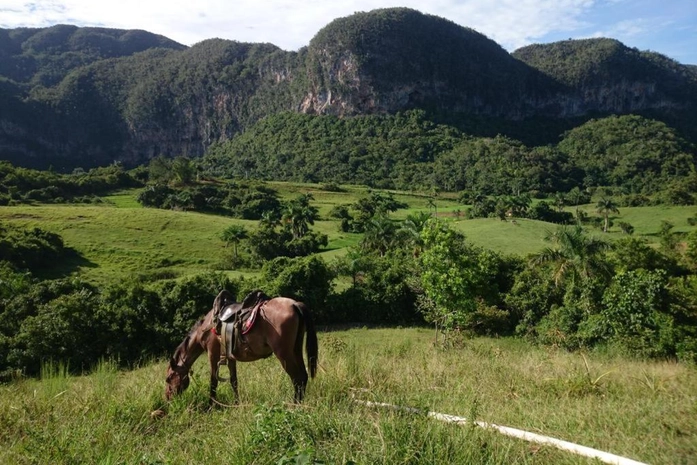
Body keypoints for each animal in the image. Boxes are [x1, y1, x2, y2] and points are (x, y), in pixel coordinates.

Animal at [164, 290, 316, 402]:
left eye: (168, 378)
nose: (168, 398)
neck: (207, 327)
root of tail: (294, 304)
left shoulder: (212, 355)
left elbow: (213, 381)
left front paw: (211, 405)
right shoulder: (230, 357)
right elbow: (234, 381)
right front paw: (237, 403)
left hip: (284, 354)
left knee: (297, 379)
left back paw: (294, 405)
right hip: (296, 349)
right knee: (303, 376)